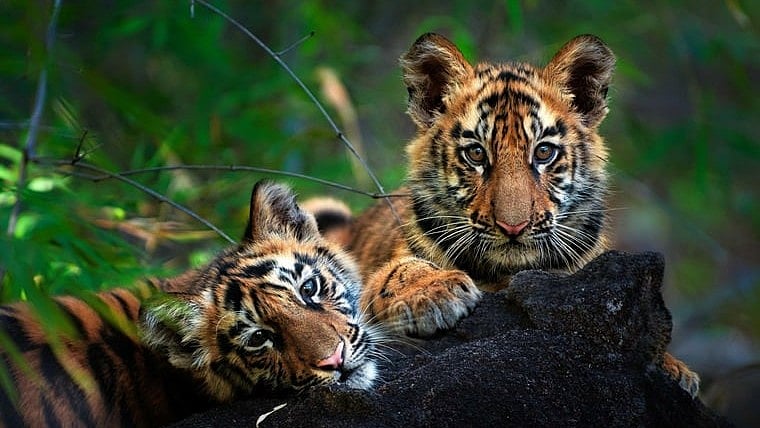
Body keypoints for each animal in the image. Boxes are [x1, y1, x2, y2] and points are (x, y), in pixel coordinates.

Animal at [308, 33, 700, 397]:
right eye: (476, 154)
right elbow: (400, 269)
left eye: (543, 152)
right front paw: (433, 294)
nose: (514, 226)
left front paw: (676, 369)